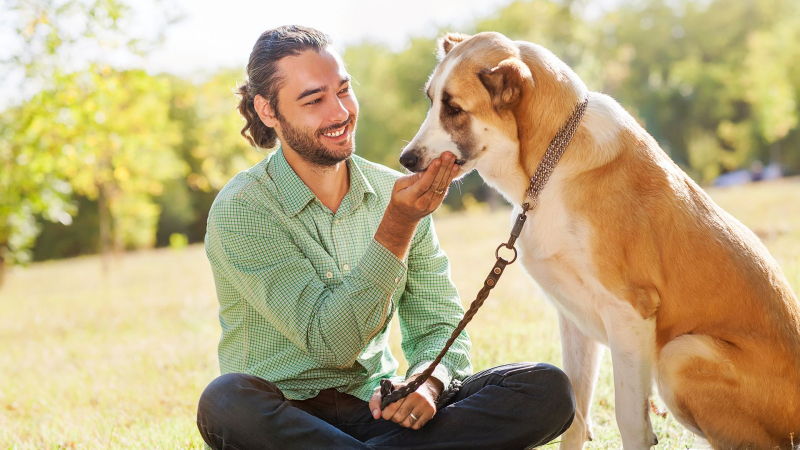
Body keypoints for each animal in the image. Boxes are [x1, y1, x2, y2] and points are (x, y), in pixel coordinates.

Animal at [400, 31, 800, 450]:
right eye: (431, 100)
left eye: (454, 108)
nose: (405, 159)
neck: (549, 167)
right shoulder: (574, 320)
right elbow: (576, 415)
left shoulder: (629, 312)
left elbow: (630, 420)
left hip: (680, 353)